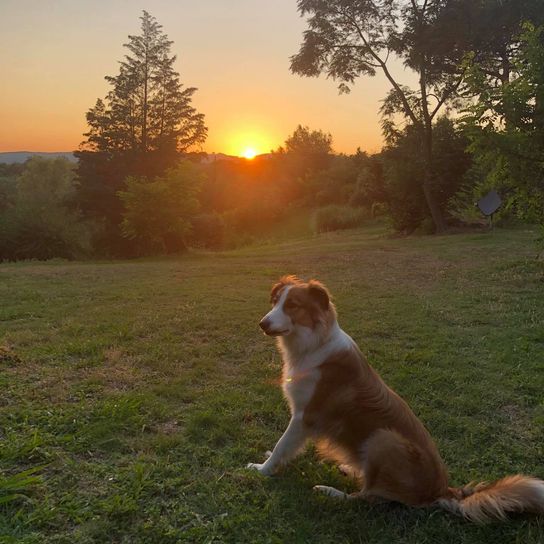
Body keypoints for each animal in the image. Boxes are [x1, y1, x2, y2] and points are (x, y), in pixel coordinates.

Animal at [249, 276, 544, 524]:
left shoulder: (304, 416)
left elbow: (283, 444)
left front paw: (262, 469)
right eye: (275, 302)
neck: (314, 344)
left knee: (367, 497)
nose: (262, 323)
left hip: (383, 438)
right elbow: (285, 447)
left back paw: (330, 491)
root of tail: (441, 489)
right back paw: (351, 469)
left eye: (293, 305)